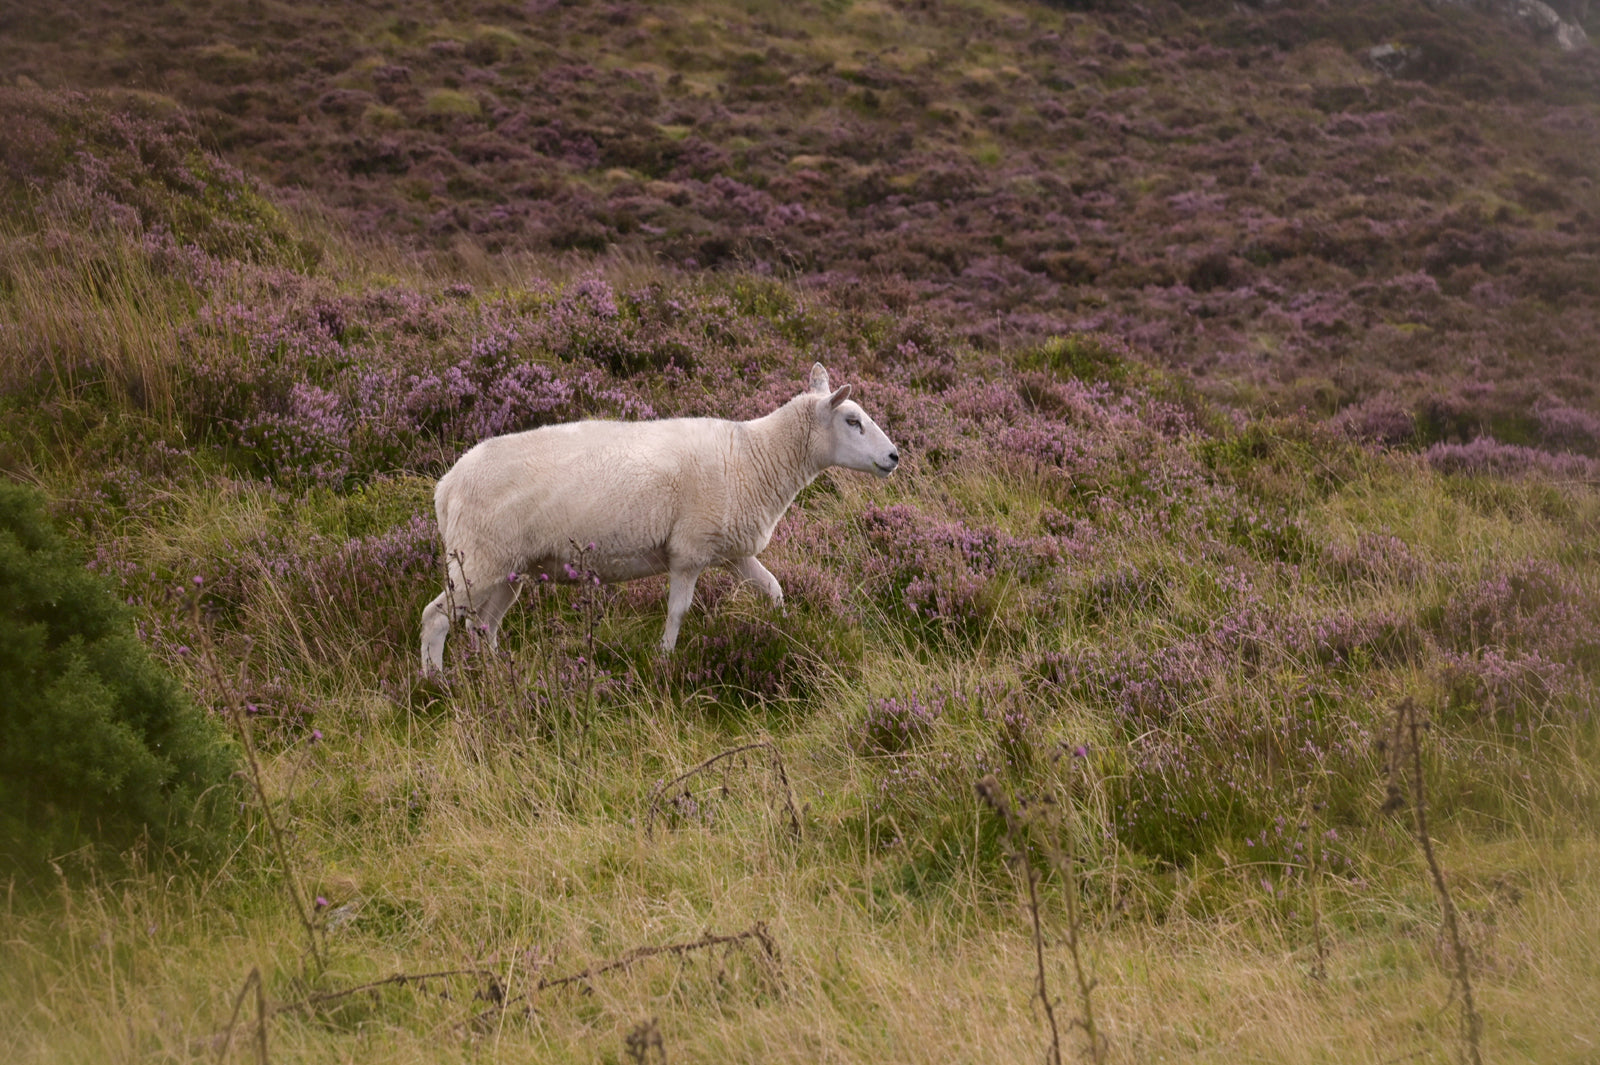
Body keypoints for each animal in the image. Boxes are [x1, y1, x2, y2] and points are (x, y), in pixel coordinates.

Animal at [420, 363, 899, 674]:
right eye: (853, 421)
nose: (894, 456)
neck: (753, 456)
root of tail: (446, 486)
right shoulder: (689, 550)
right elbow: (678, 611)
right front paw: (665, 659)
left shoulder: (732, 551)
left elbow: (774, 589)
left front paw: (785, 632)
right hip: (477, 558)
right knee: (436, 617)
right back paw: (436, 684)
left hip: (508, 568)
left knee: (483, 625)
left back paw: (496, 675)